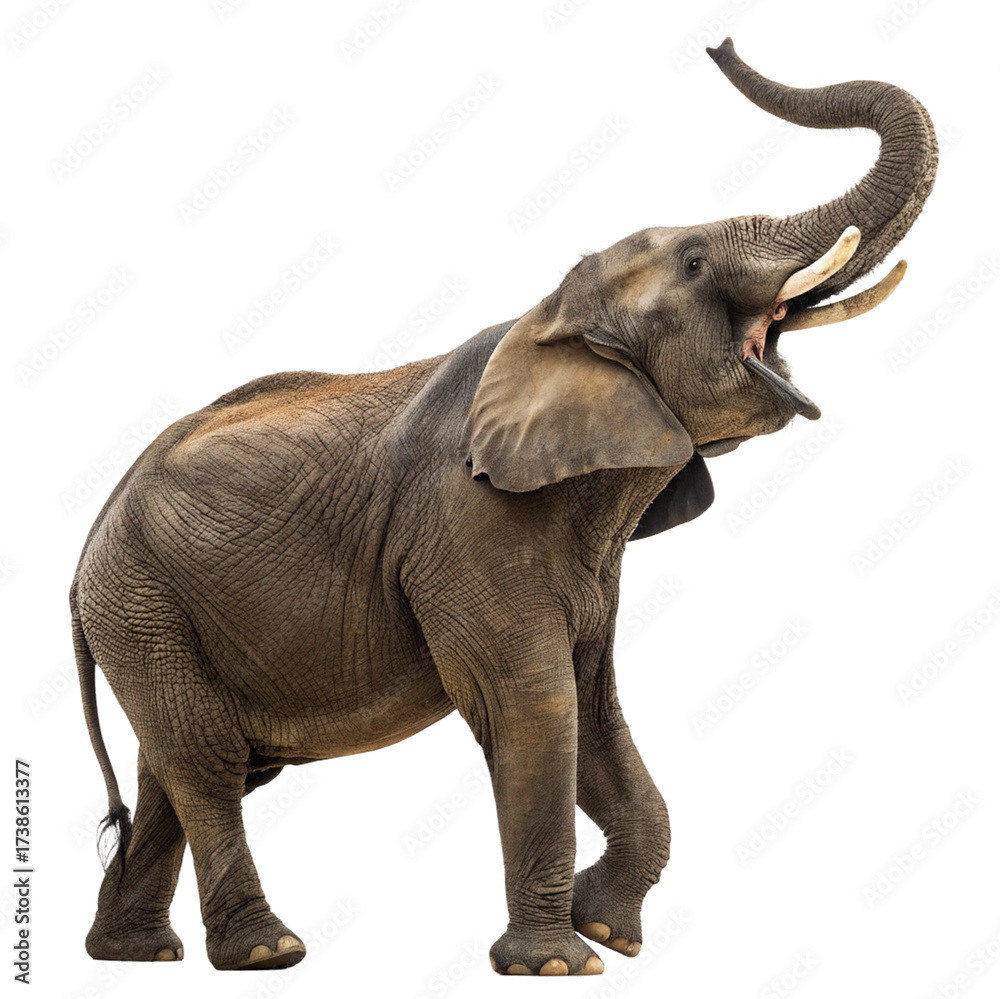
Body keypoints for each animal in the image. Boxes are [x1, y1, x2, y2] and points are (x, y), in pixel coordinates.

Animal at [73, 38, 936, 976]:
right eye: (696, 262)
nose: (719, 43)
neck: (551, 316)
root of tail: (87, 542)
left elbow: (592, 706)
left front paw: (608, 931)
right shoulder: (468, 524)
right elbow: (533, 703)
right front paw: (557, 962)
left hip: (152, 612)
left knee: (173, 765)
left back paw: (132, 953)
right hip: (142, 600)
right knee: (208, 760)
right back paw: (269, 950)